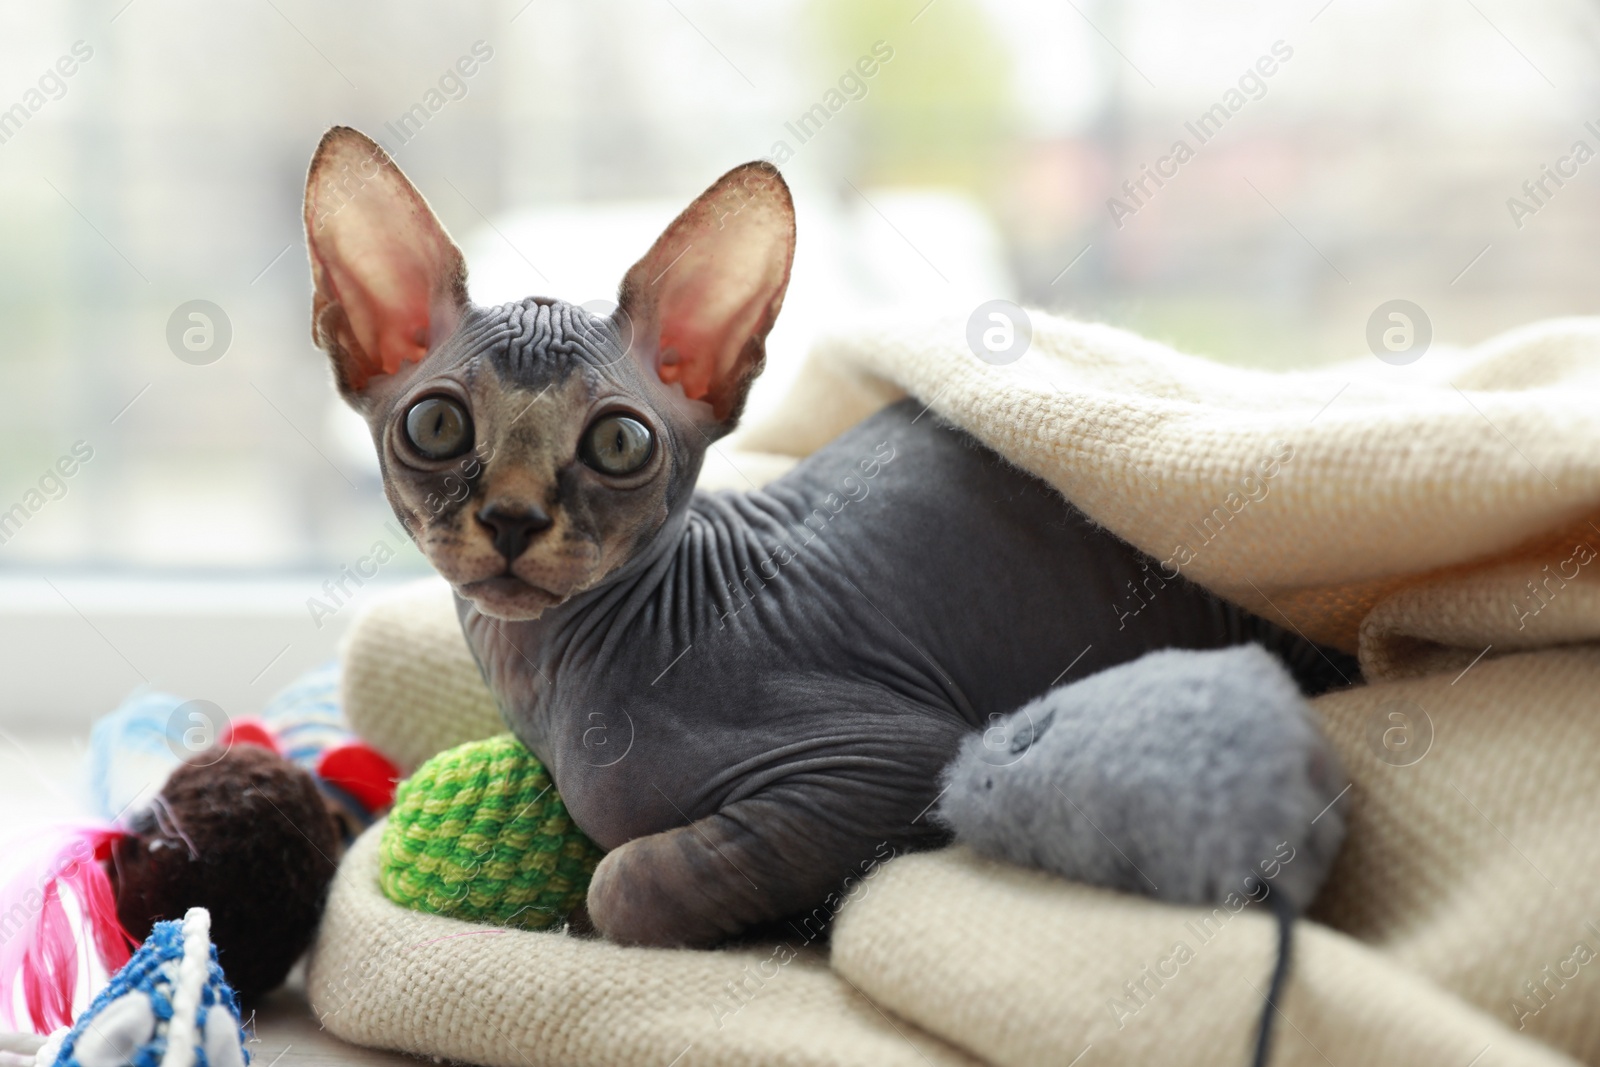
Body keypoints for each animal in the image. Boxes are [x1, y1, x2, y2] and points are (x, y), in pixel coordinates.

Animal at [302, 125, 1350, 953]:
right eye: (437, 425)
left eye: (619, 443)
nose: (514, 518)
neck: (548, 679)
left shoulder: (898, 755)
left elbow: (623, 882)